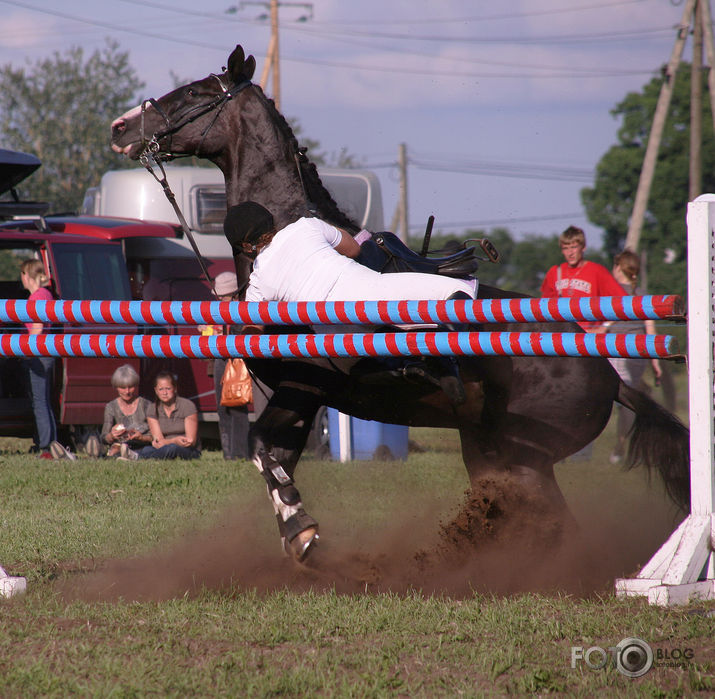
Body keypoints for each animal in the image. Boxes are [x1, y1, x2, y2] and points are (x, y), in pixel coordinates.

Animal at [110, 45, 688, 564]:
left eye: (195, 93)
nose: (120, 127)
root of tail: (609, 375)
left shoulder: (302, 387)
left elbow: (257, 447)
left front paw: (301, 532)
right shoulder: (300, 398)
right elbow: (272, 459)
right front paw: (300, 534)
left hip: (523, 459)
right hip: (494, 456)